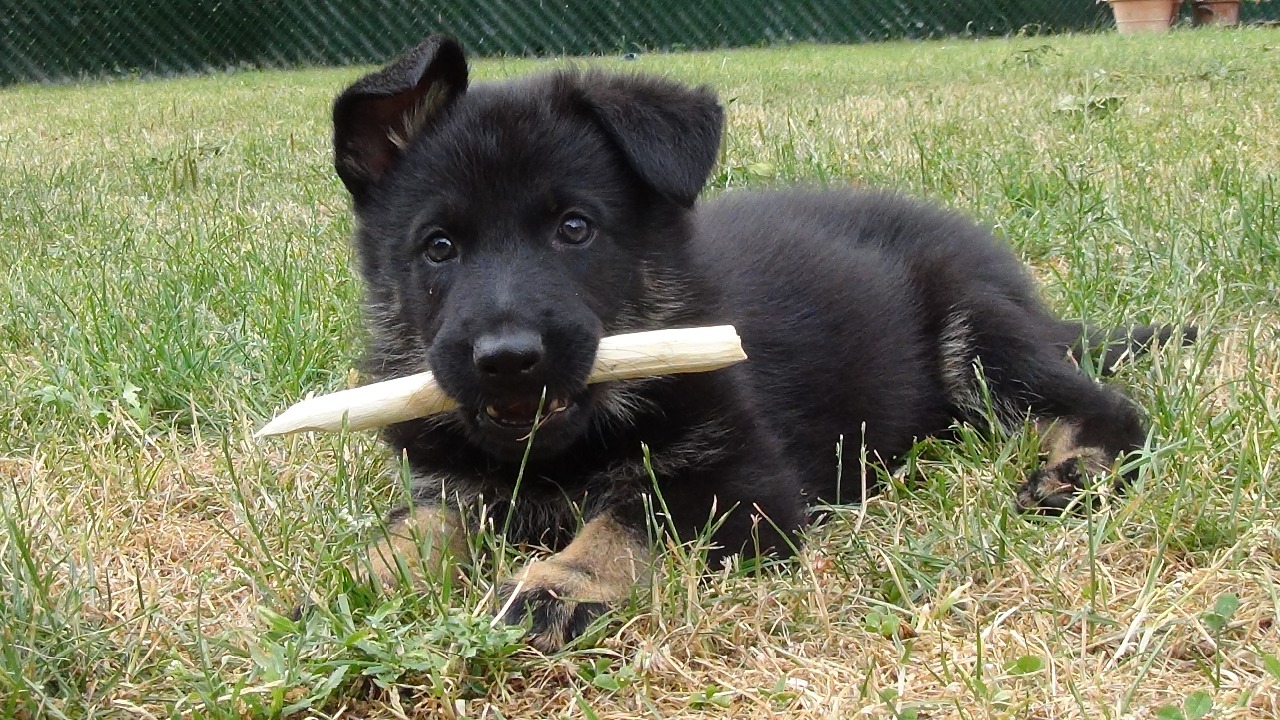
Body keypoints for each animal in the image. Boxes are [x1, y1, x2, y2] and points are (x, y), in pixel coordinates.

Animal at [326, 35, 1191, 652]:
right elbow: (417, 531)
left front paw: (565, 583)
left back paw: (1079, 466)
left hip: (973, 329)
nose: (507, 359)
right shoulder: (454, 490)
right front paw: (352, 587)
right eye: (439, 247)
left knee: (1101, 403)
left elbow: (634, 518)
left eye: (575, 228)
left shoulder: (745, 485)